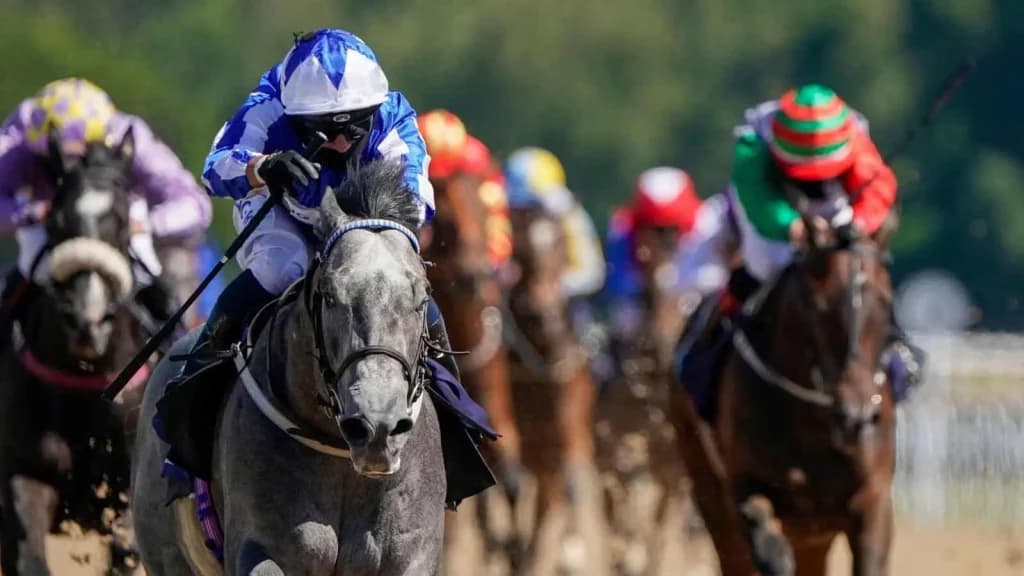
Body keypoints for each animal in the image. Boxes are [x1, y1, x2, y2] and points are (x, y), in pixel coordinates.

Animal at [0, 128, 147, 575]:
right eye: (55, 220)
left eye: (122, 221)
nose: (88, 320)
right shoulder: (26, 470)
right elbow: (28, 555)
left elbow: (128, 548)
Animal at [132, 161, 449, 575]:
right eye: (329, 294)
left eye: (423, 297)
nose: (377, 426)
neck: (341, 460)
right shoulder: (264, 546)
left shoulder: (410, 555)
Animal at [595, 223, 695, 576]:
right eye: (651, 287)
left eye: (685, 299)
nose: (666, 343)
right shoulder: (614, 446)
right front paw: (627, 554)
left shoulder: (673, 469)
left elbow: (658, 529)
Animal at [671, 218, 897, 576]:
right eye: (820, 307)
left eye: (886, 304)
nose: (856, 418)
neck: (812, 424)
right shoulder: (746, 490)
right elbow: (770, 551)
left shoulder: (871, 499)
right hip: (705, 480)